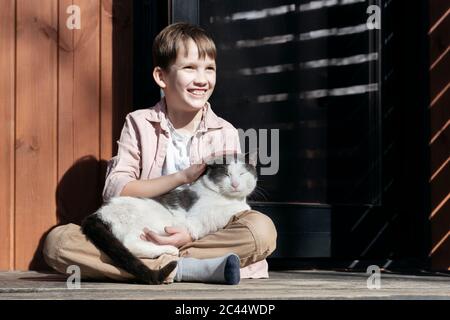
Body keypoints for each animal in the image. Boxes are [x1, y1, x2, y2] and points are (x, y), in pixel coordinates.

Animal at [81, 154, 256, 284]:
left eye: (242, 174)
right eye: (226, 174)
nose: (235, 184)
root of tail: (99, 212)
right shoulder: (200, 215)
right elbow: (230, 209)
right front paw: (245, 207)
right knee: (130, 244)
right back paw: (171, 249)